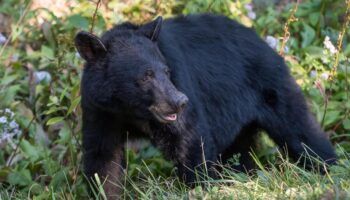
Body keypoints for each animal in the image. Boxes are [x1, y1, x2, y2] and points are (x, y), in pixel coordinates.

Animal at [74, 13, 336, 198]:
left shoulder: (182, 88)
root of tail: (261, 39)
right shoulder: (100, 110)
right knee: (240, 152)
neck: (129, 110)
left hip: (271, 88)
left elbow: (190, 141)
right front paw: (104, 191)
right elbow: (102, 158)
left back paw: (329, 168)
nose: (179, 101)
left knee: (300, 131)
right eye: (146, 76)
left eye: (166, 71)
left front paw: (199, 187)